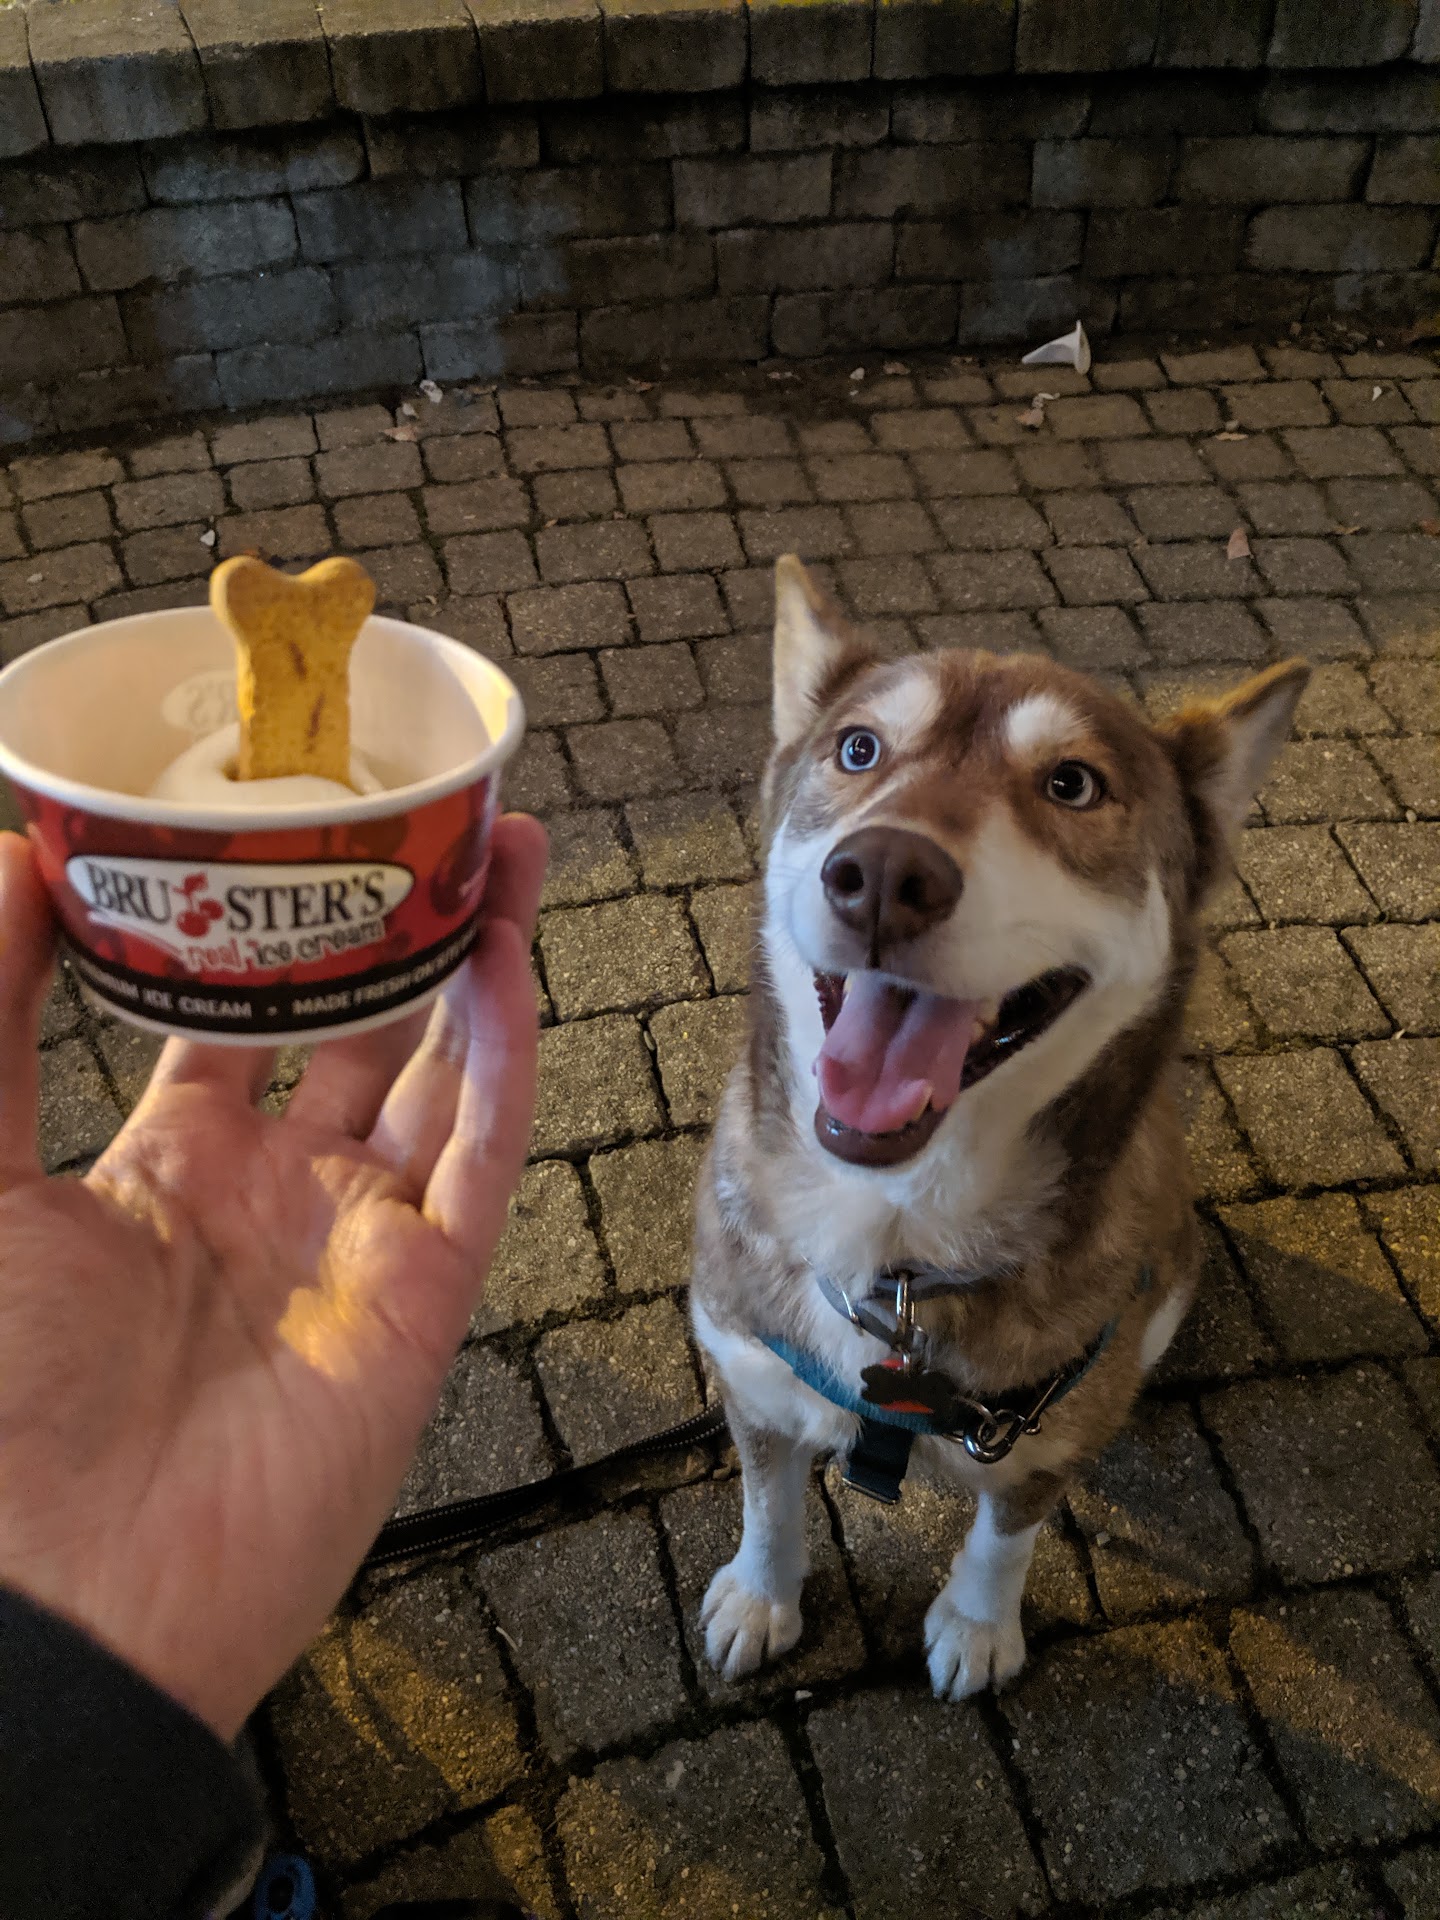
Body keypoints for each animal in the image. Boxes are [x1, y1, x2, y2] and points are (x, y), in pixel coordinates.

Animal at [689, 554, 1309, 1700]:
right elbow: (768, 1500)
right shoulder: (749, 1368)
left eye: (1071, 784)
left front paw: (977, 1626)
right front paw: (761, 1595)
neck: (896, 1248)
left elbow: (1002, 1535)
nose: (885, 874)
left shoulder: (1046, 1431)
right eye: (859, 748)